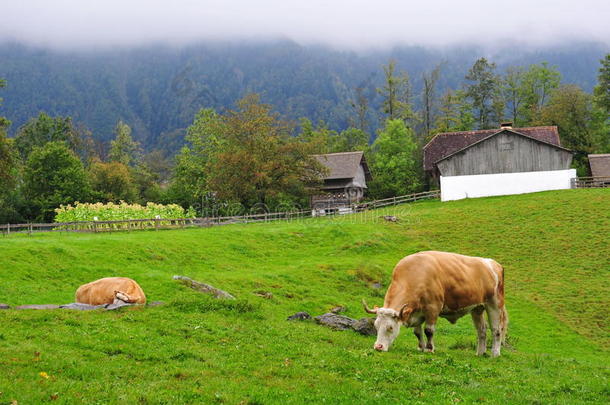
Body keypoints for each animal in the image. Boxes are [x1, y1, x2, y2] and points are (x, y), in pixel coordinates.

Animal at [360, 249, 508, 356]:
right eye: (376, 325)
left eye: (390, 327)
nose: (378, 347)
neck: (416, 272)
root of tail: (493, 263)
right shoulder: (416, 311)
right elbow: (417, 332)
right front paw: (421, 347)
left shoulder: (433, 308)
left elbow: (429, 330)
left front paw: (429, 349)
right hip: (477, 308)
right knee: (481, 330)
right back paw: (480, 353)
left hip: (494, 304)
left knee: (496, 329)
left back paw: (495, 353)